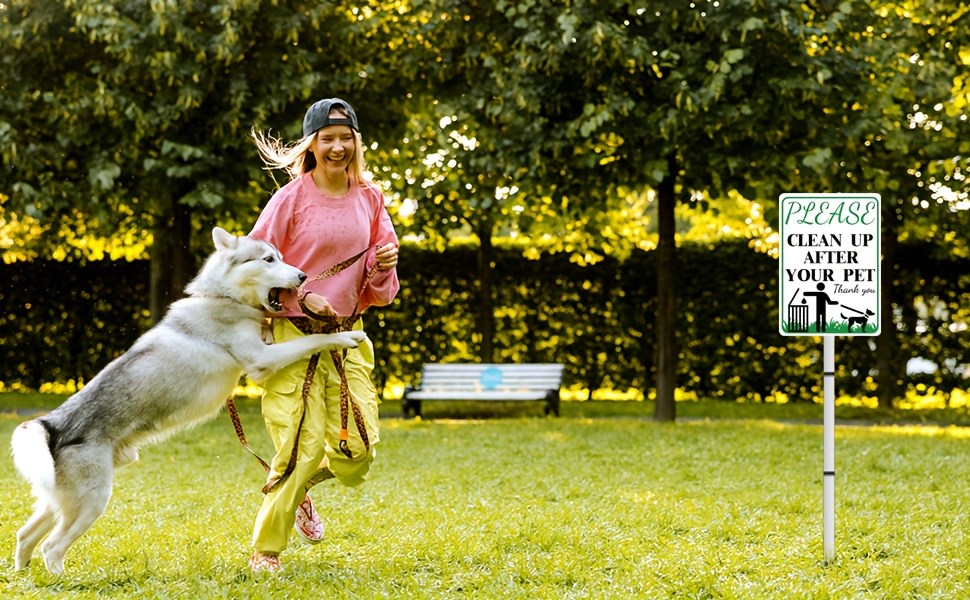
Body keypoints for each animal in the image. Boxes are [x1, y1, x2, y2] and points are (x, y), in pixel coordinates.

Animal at [10, 227, 366, 576]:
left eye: (280, 257)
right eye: (268, 259)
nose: (303, 276)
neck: (222, 297)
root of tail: (51, 423)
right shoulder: (262, 361)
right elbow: (313, 340)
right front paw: (344, 335)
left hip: (59, 500)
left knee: (25, 534)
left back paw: (23, 573)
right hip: (91, 501)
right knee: (51, 547)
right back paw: (61, 580)